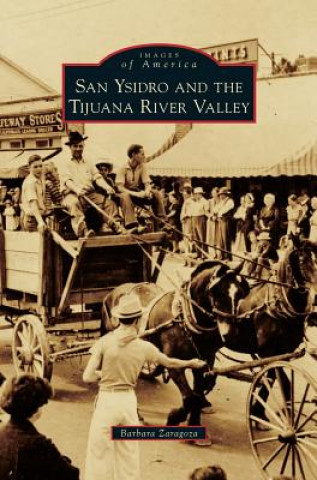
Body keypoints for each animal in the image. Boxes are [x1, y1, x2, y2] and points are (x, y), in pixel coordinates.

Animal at [101, 258, 249, 436]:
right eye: (216, 292)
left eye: (240, 293)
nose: (231, 333)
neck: (184, 319)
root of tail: (114, 291)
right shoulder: (174, 365)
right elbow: (189, 398)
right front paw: (174, 417)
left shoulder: (204, 362)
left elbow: (197, 395)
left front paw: (194, 422)